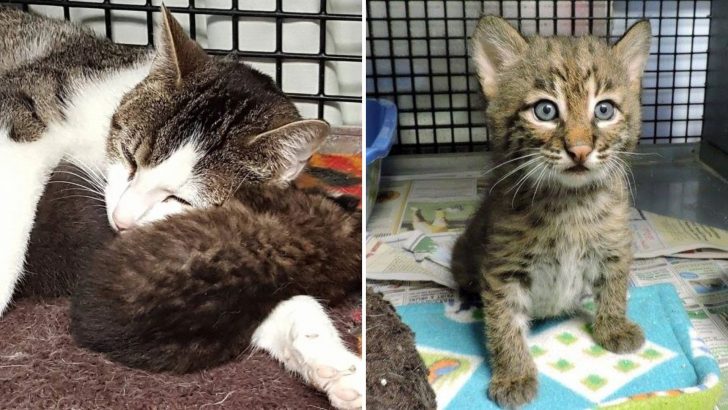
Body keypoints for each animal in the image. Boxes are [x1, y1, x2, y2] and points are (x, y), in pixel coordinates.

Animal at [452, 15, 652, 406]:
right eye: (545, 110)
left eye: (604, 110)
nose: (580, 150)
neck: (568, 201)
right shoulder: (503, 267)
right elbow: (504, 323)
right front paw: (514, 375)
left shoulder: (616, 243)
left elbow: (614, 284)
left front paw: (613, 326)